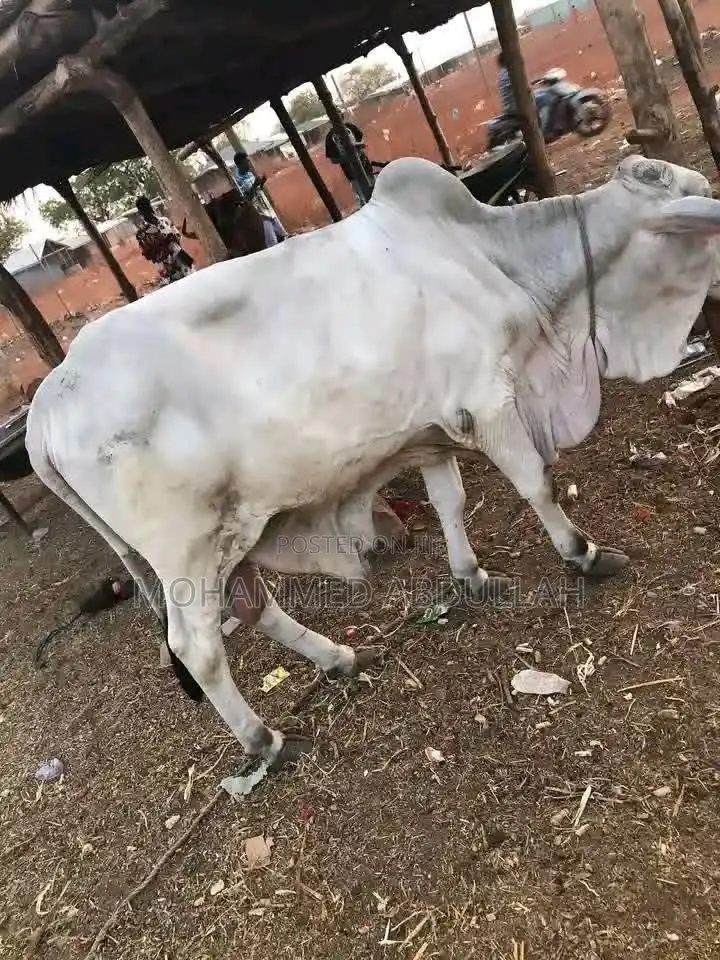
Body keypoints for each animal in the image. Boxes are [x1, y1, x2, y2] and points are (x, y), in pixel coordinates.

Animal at [26, 154, 720, 770]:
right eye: (667, 181)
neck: (486, 260)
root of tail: (47, 402)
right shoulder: (488, 402)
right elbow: (537, 484)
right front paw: (585, 553)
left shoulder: (434, 431)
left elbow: (450, 502)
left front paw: (471, 575)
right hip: (187, 548)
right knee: (197, 648)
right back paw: (266, 741)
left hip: (234, 532)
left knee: (252, 607)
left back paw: (338, 659)